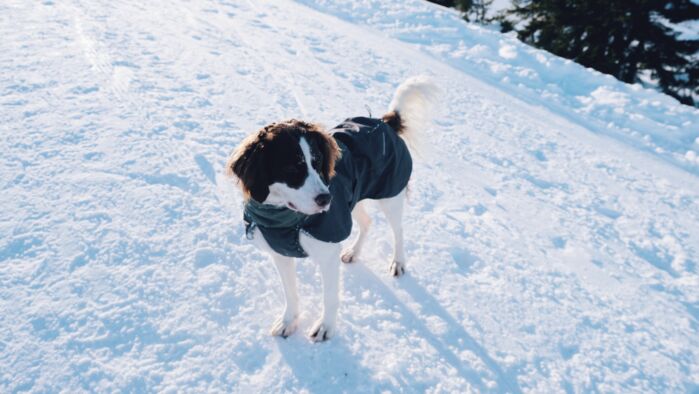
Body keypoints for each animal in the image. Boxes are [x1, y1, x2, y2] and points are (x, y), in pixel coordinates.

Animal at [228, 77, 438, 342]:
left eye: (317, 162)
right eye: (291, 168)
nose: (326, 198)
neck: (286, 219)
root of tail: (384, 122)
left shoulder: (327, 254)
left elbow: (329, 297)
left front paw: (325, 327)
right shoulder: (280, 255)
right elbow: (290, 293)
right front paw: (289, 321)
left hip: (389, 195)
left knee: (398, 231)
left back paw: (398, 262)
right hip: (354, 200)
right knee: (368, 222)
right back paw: (353, 252)